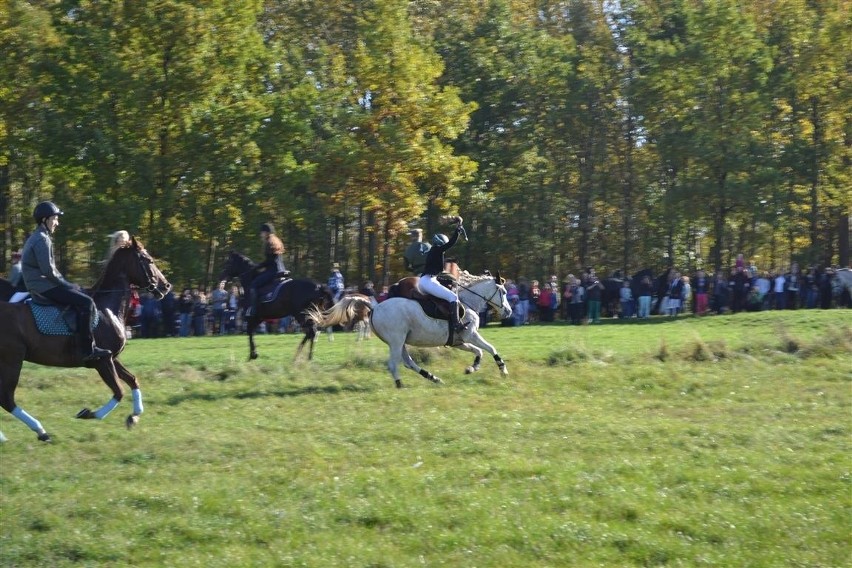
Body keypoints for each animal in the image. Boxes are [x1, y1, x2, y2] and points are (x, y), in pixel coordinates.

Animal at [0, 237, 173, 442]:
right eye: (149, 260)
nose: (166, 286)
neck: (107, 309)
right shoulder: (102, 361)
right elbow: (119, 391)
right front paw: (89, 413)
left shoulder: (112, 358)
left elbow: (132, 380)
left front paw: (134, 416)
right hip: (12, 360)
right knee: (7, 399)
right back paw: (40, 430)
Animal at [304, 272, 510, 388]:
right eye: (504, 292)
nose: (508, 311)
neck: (467, 302)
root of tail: (374, 306)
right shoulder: (471, 334)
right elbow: (490, 348)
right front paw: (503, 370)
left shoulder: (459, 341)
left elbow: (479, 352)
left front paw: (472, 368)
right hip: (396, 340)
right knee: (394, 364)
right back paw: (399, 384)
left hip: (400, 341)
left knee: (408, 362)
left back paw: (433, 377)